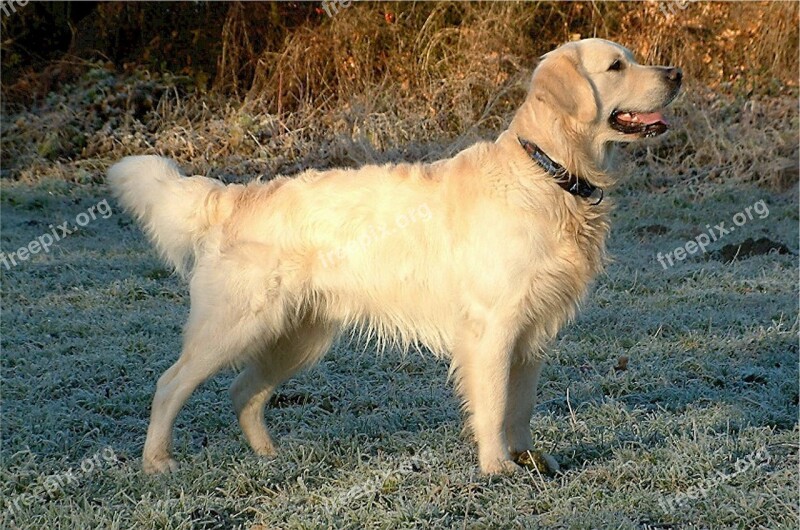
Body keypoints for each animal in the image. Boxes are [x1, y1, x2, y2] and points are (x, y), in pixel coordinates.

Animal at [106, 38, 680, 474]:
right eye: (616, 66)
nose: (676, 73)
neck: (548, 171)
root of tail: (232, 196)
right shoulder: (492, 328)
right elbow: (494, 405)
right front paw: (497, 468)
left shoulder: (532, 332)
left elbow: (520, 407)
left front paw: (530, 460)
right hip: (235, 323)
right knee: (170, 383)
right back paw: (157, 463)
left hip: (299, 336)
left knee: (244, 391)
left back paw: (270, 455)